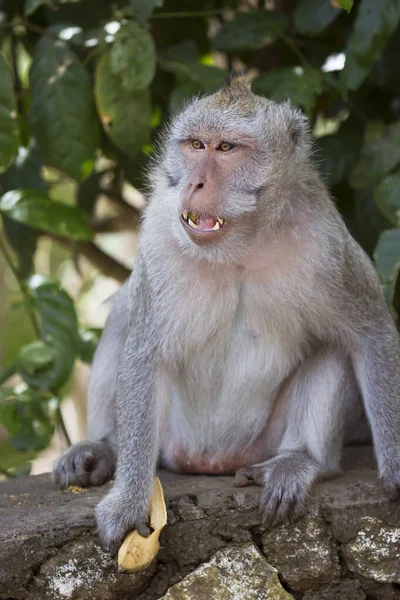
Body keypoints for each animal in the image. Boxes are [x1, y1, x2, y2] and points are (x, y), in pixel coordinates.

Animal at [54, 74, 400, 548]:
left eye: (226, 149)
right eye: (196, 145)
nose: (195, 183)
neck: (239, 247)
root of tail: (211, 462)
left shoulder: (326, 242)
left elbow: (371, 333)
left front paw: (396, 466)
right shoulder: (158, 237)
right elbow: (144, 353)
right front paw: (127, 501)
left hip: (261, 444)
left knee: (333, 346)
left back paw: (302, 461)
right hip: (169, 439)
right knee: (125, 310)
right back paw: (105, 447)